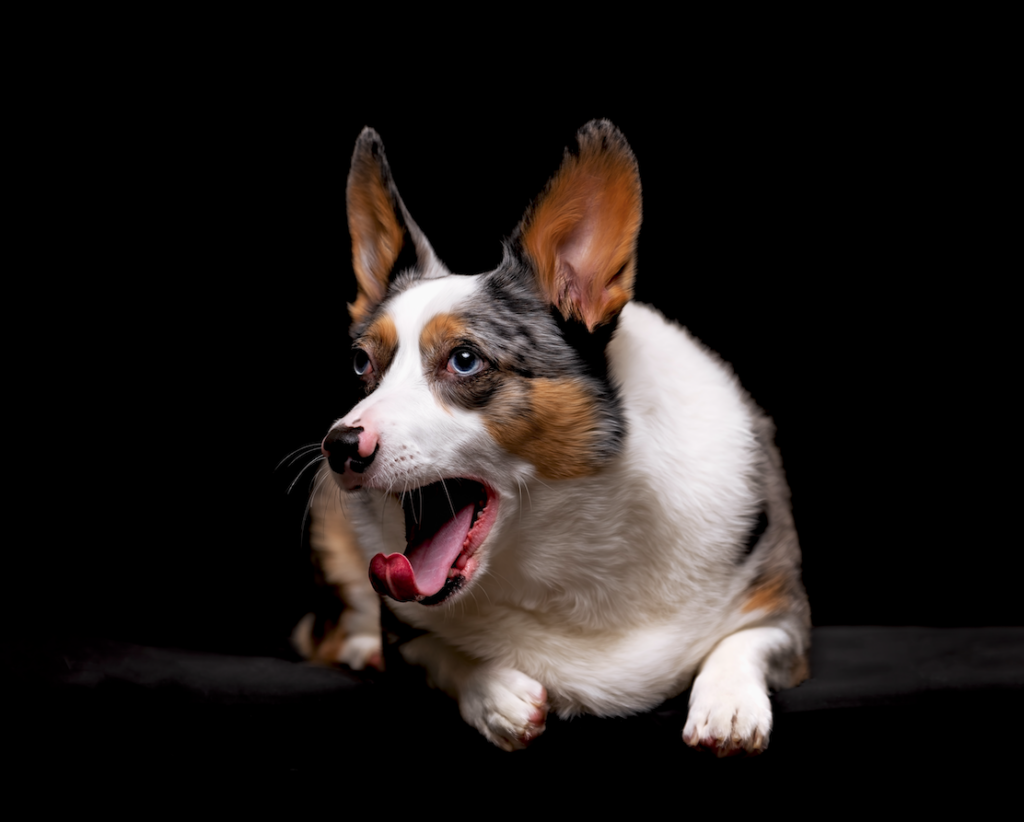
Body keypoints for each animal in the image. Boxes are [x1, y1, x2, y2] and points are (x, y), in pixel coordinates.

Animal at [292, 118, 811, 757]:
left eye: (465, 360)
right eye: (362, 364)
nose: (338, 446)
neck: (564, 550)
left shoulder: (786, 611)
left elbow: (745, 639)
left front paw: (728, 704)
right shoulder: (406, 637)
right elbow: (437, 654)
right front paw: (495, 695)